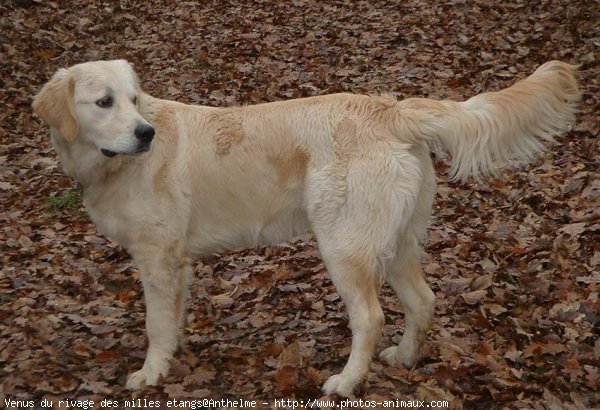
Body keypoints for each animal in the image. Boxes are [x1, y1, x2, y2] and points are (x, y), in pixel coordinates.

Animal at [32, 60, 576, 398]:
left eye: (133, 100)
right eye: (105, 102)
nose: (145, 133)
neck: (111, 165)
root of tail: (391, 108)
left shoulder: (157, 256)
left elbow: (154, 323)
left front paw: (150, 373)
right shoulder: (176, 261)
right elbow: (173, 318)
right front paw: (173, 356)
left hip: (343, 245)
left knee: (370, 317)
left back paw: (347, 382)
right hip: (397, 243)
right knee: (423, 302)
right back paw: (403, 356)